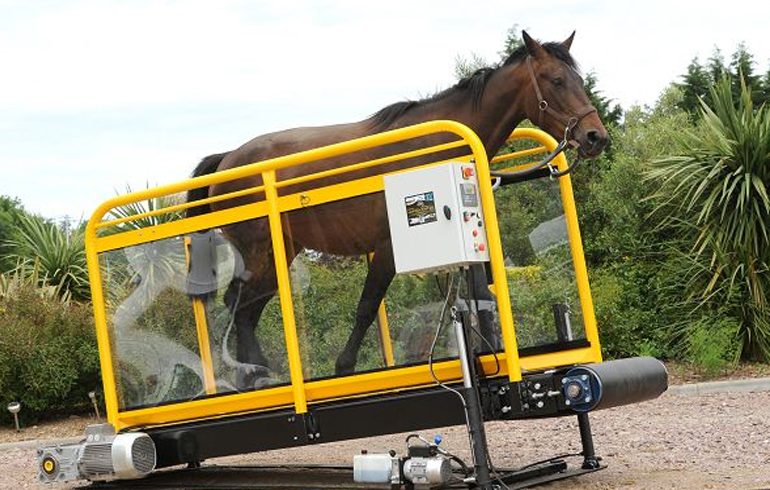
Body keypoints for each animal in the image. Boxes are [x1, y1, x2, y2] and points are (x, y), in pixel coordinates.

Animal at [184, 31, 608, 386]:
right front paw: (345, 368)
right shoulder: (388, 248)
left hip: (279, 254)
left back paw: (255, 374)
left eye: (580, 81)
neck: (434, 144)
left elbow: (480, 297)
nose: (595, 137)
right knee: (238, 306)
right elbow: (367, 307)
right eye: (556, 80)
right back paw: (256, 376)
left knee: (247, 308)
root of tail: (228, 159)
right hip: (258, 252)